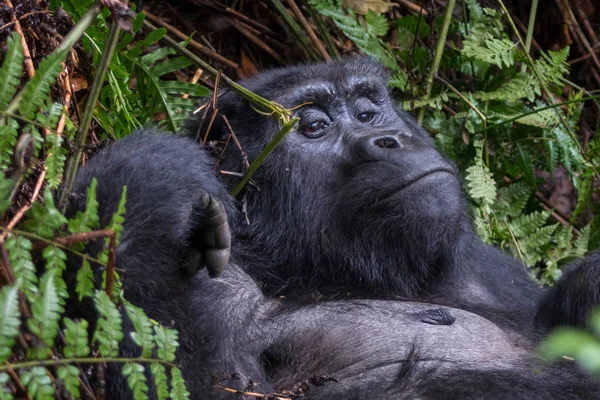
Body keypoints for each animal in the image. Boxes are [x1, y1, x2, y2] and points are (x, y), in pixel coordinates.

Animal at [67, 57, 600, 398]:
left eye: (369, 110)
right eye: (314, 127)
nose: (389, 137)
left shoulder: (496, 267)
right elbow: (200, 382)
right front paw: (153, 171)